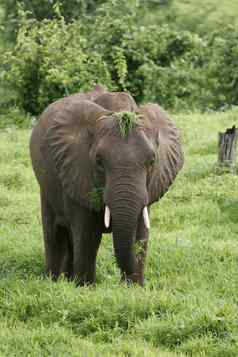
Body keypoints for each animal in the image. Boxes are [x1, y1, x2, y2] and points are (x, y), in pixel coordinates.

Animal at [29, 87, 182, 286]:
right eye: (99, 161)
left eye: (152, 161)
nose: (123, 282)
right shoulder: (77, 173)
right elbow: (88, 237)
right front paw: (85, 288)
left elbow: (141, 235)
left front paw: (134, 289)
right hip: (47, 186)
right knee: (54, 234)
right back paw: (52, 281)